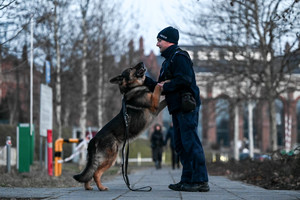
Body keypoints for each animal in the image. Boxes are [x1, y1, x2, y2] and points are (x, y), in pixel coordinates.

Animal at [72, 62, 166, 191]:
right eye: (131, 69)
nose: (141, 62)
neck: (133, 88)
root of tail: (93, 139)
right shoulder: (154, 105)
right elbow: (157, 87)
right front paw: (164, 82)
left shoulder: (157, 109)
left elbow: (165, 100)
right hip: (111, 157)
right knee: (96, 173)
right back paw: (101, 188)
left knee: (90, 174)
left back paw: (89, 187)